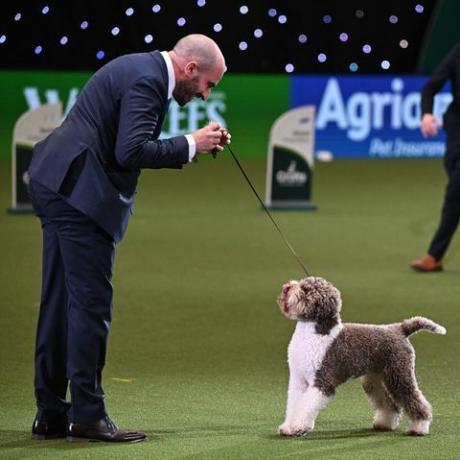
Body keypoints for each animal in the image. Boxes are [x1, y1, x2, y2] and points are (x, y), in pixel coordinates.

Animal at [276, 274, 446, 436]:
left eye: (305, 290)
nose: (286, 287)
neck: (312, 332)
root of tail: (399, 329)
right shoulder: (299, 380)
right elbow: (295, 404)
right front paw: (288, 427)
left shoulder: (322, 381)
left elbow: (305, 406)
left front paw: (297, 427)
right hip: (374, 379)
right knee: (390, 405)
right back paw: (384, 424)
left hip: (398, 374)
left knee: (415, 400)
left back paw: (419, 427)